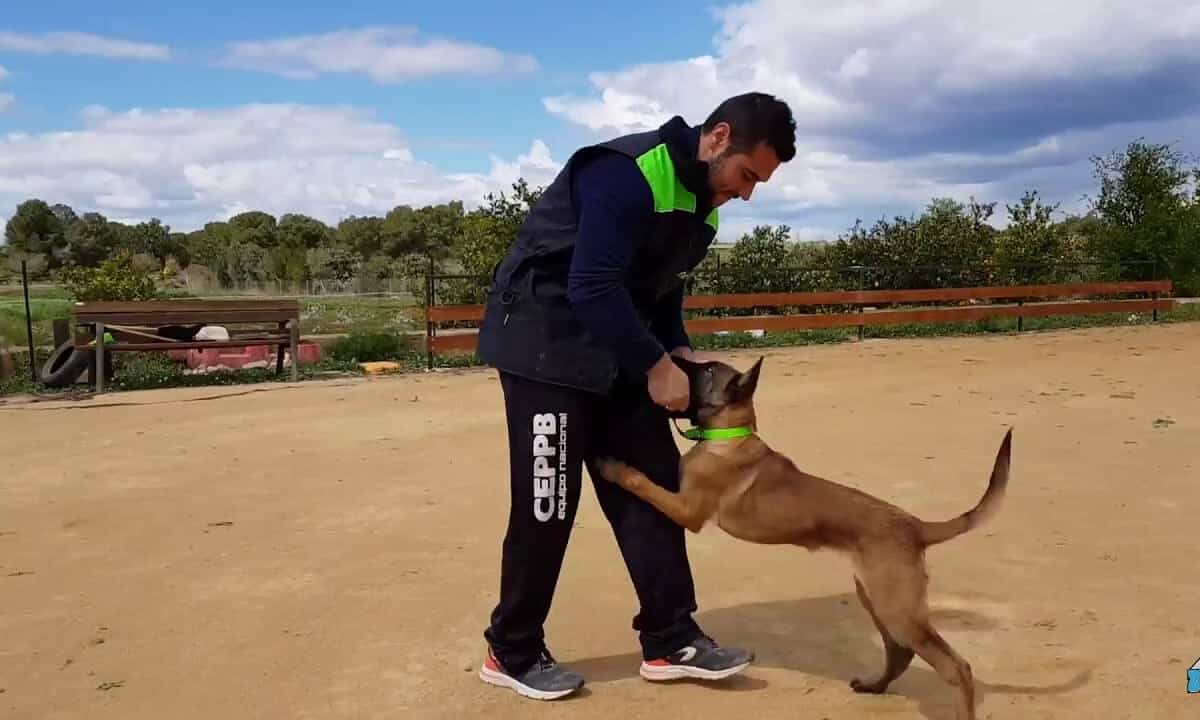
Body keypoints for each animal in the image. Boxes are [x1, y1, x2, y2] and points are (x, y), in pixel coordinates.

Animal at [595, 355, 1008, 720]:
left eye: (708, 369)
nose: (676, 359)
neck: (729, 434)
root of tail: (915, 525)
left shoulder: (686, 510)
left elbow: (642, 482)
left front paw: (614, 467)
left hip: (897, 608)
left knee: (956, 666)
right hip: (876, 597)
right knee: (900, 651)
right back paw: (874, 685)